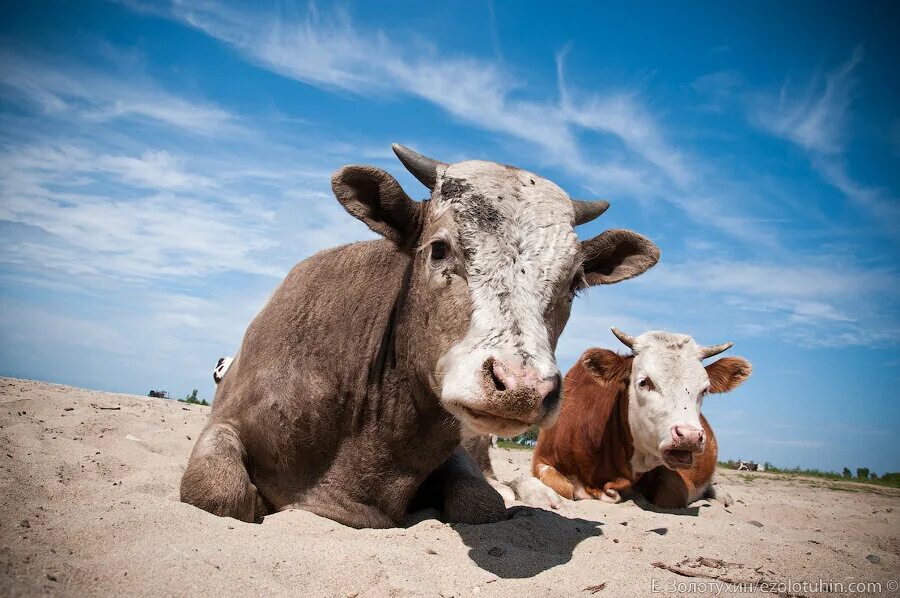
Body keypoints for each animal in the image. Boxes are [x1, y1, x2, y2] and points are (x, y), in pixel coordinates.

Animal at [181, 145, 660, 528]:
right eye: (439, 248)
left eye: (574, 281)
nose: (522, 387)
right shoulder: (225, 422)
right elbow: (216, 492)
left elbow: (481, 500)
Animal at [520, 328, 752, 510]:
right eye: (644, 382)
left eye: (704, 390)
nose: (690, 436)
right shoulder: (542, 459)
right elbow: (562, 486)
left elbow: (672, 494)